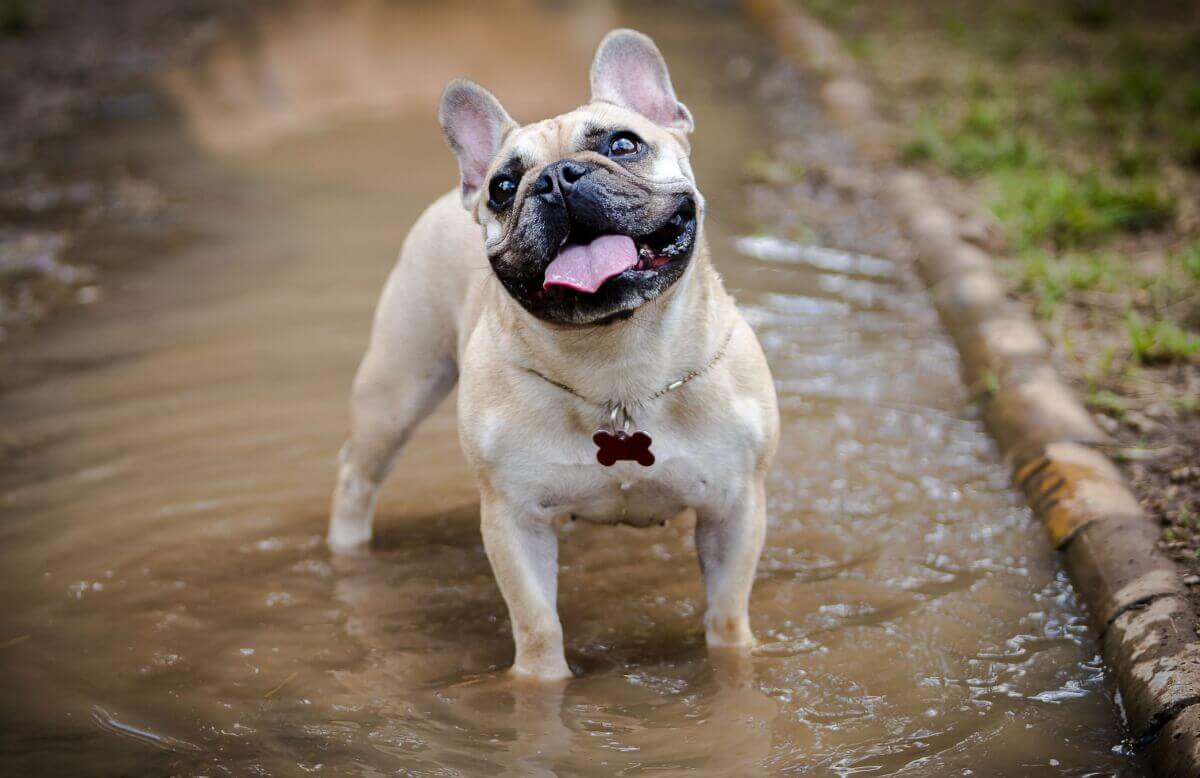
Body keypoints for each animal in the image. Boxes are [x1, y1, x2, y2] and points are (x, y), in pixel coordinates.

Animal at [328, 28, 777, 681]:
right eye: (503, 188)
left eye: (623, 144)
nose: (557, 177)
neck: (618, 364)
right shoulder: (513, 518)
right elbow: (538, 626)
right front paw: (542, 686)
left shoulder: (736, 507)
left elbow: (727, 615)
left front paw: (734, 668)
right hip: (396, 389)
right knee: (357, 476)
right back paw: (346, 552)